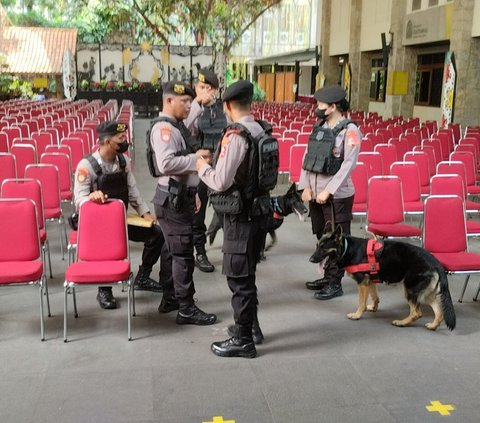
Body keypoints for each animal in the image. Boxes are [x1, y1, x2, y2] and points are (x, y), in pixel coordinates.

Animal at [310, 227, 456, 332]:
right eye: (317, 246)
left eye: (323, 248)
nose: (310, 259)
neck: (346, 248)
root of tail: (437, 263)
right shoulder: (370, 281)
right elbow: (375, 297)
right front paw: (373, 307)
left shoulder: (362, 283)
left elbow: (361, 302)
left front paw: (357, 315)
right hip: (424, 293)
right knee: (439, 313)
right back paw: (433, 325)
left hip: (409, 288)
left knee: (416, 313)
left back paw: (401, 323)